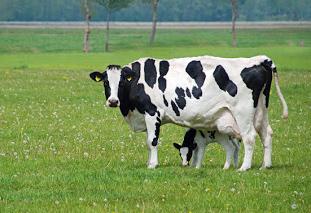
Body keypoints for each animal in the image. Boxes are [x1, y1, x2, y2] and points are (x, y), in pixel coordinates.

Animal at [89, 54, 288, 170]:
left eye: (122, 81)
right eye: (106, 82)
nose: (113, 101)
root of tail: (259, 60)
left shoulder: (152, 113)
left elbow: (152, 141)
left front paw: (152, 165)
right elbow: (149, 142)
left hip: (243, 112)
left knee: (249, 137)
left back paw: (244, 167)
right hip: (261, 109)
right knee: (267, 134)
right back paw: (265, 165)